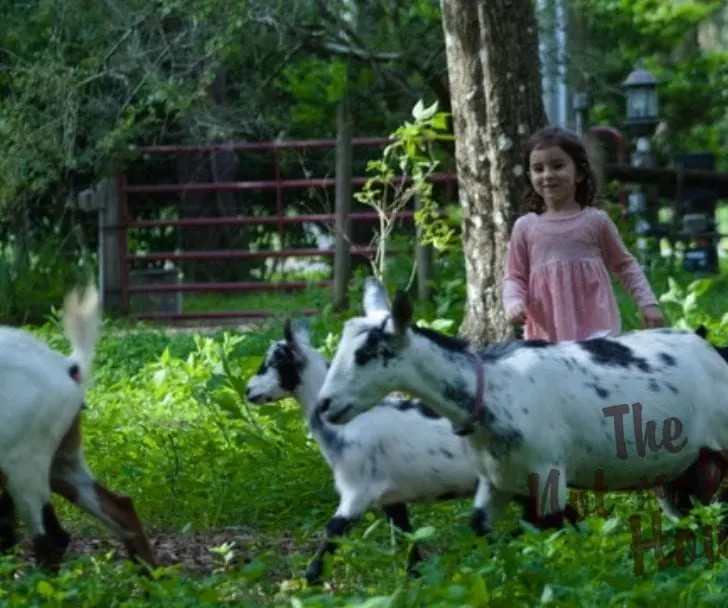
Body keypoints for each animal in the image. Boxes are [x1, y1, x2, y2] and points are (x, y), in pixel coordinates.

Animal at [247, 320, 520, 588]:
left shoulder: (356, 490)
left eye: (273, 363)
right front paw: (415, 579)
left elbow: (332, 532)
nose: (248, 391)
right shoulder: (391, 497)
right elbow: (405, 535)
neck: (347, 424)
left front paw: (310, 582)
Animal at [318, 278, 728, 540]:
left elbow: (549, 530)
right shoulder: (495, 481)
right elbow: (483, 533)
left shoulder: (549, 477)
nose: (325, 404)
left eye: (367, 352)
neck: (494, 392)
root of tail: (716, 351)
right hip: (679, 471)